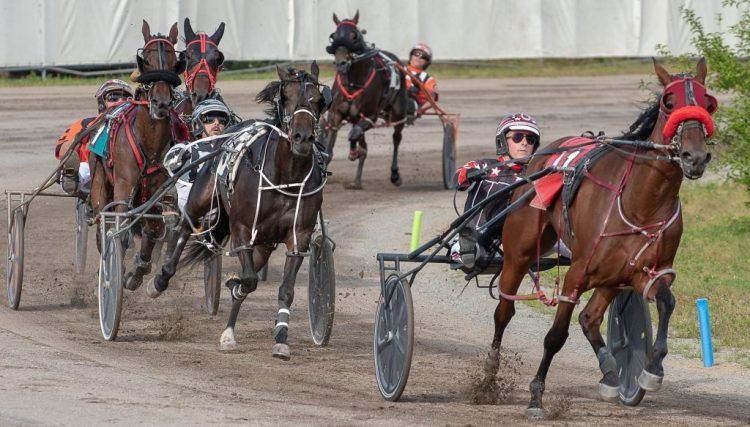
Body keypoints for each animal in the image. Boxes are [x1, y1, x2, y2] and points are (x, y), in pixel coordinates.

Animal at [89, 20, 188, 290]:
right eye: (148, 61)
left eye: (174, 63)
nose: (161, 103)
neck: (149, 140)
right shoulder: (124, 183)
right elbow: (119, 226)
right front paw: (116, 270)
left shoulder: (157, 189)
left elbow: (153, 227)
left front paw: (138, 270)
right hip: (101, 181)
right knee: (103, 222)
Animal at [147, 61, 332, 360]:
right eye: (286, 97)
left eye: (318, 100)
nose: (302, 137)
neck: (286, 177)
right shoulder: (243, 228)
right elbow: (248, 279)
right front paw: (235, 284)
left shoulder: (298, 236)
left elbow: (284, 290)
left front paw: (281, 337)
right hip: (202, 196)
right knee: (185, 226)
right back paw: (160, 280)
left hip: (265, 242)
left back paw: (229, 331)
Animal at [320, 10, 408, 189]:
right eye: (333, 36)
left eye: (354, 36)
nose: (341, 63)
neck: (353, 83)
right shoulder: (335, 115)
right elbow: (329, 150)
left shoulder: (369, 116)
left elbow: (354, 135)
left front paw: (354, 152)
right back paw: (357, 179)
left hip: (398, 112)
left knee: (396, 138)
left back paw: (394, 175)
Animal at [494, 58, 716, 420]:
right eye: (669, 102)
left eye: (709, 104)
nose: (693, 157)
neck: (642, 201)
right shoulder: (577, 272)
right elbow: (555, 336)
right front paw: (536, 397)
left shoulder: (646, 272)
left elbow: (666, 303)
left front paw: (650, 370)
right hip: (520, 251)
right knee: (504, 312)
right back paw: (489, 375)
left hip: (612, 277)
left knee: (590, 318)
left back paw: (612, 374)